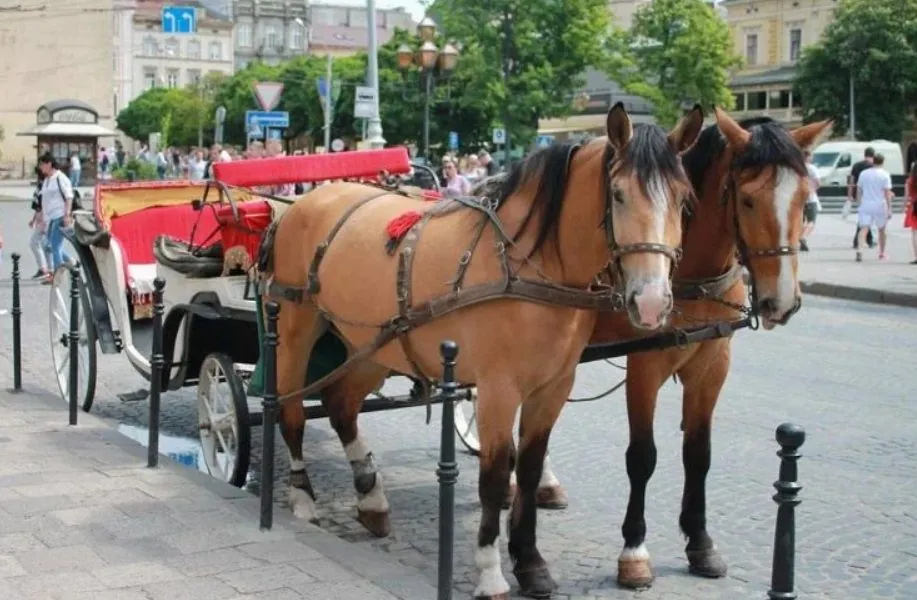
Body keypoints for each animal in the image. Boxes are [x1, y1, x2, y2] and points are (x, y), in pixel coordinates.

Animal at [262, 104, 704, 600]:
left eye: (684, 200)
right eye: (618, 194)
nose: (651, 302)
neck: (528, 263)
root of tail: (306, 201)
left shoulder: (553, 386)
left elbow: (527, 469)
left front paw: (530, 562)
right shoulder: (497, 389)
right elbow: (494, 477)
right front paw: (491, 571)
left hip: (371, 343)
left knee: (340, 405)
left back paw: (371, 497)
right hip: (296, 328)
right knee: (291, 411)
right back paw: (302, 496)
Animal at [524, 108, 832, 592]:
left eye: (805, 199)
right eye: (747, 200)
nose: (780, 301)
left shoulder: (713, 366)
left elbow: (698, 454)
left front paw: (700, 542)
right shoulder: (645, 365)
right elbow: (642, 457)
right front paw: (634, 551)